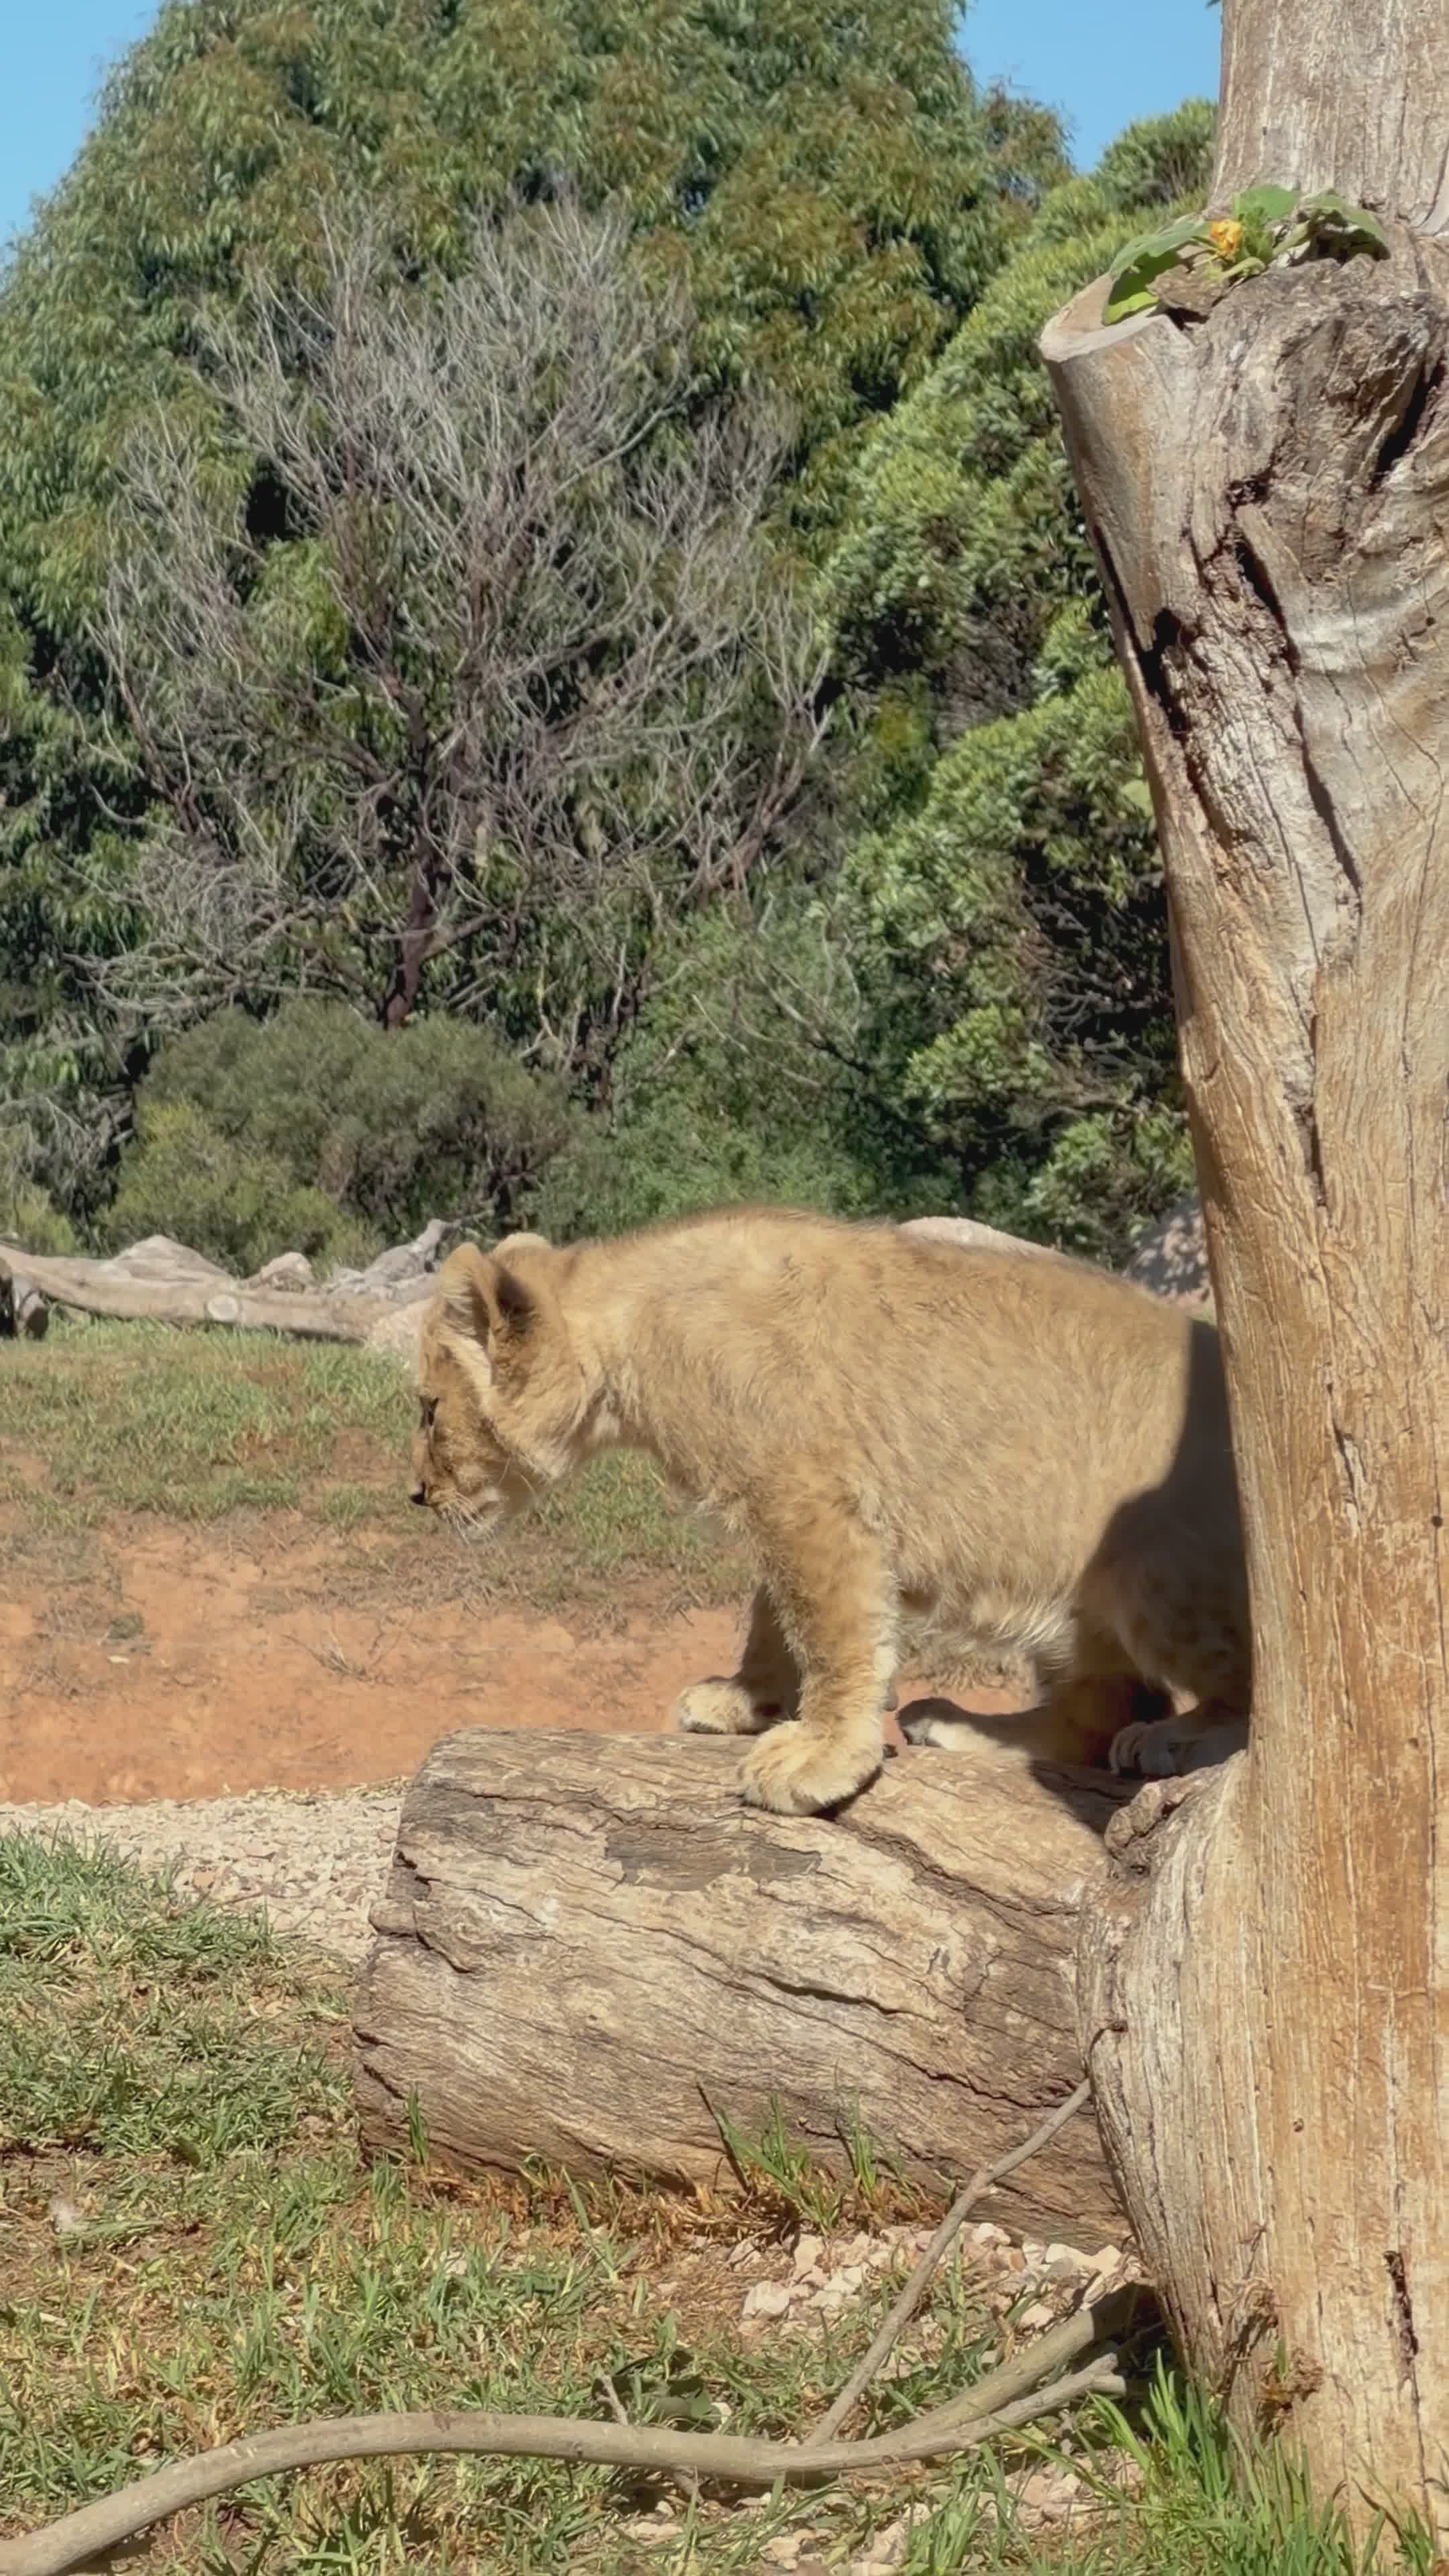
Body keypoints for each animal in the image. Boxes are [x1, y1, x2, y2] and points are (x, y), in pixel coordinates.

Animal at [410, 1205, 1250, 1815]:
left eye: (426, 1409)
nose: (417, 1495)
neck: (634, 1340)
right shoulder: (779, 1506)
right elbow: (771, 1619)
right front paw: (743, 1701)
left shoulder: (810, 1500)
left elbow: (831, 1631)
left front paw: (821, 1754)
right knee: (1101, 1706)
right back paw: (958, 1727)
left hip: (1146, 1567)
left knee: (1246, 1692)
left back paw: (1175, 1741)